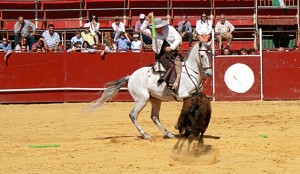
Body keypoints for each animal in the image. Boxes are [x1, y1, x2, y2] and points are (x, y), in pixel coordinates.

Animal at [83, 41, 212, 139]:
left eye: (210, 55)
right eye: (202, 56)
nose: (209, 73)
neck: (191, 71)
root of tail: (131, 76)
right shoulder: (183, 95)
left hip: (155, 100)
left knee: (154, 117)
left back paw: (168, 134)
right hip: (142, 99)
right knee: (133, 115)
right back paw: (145, 134)